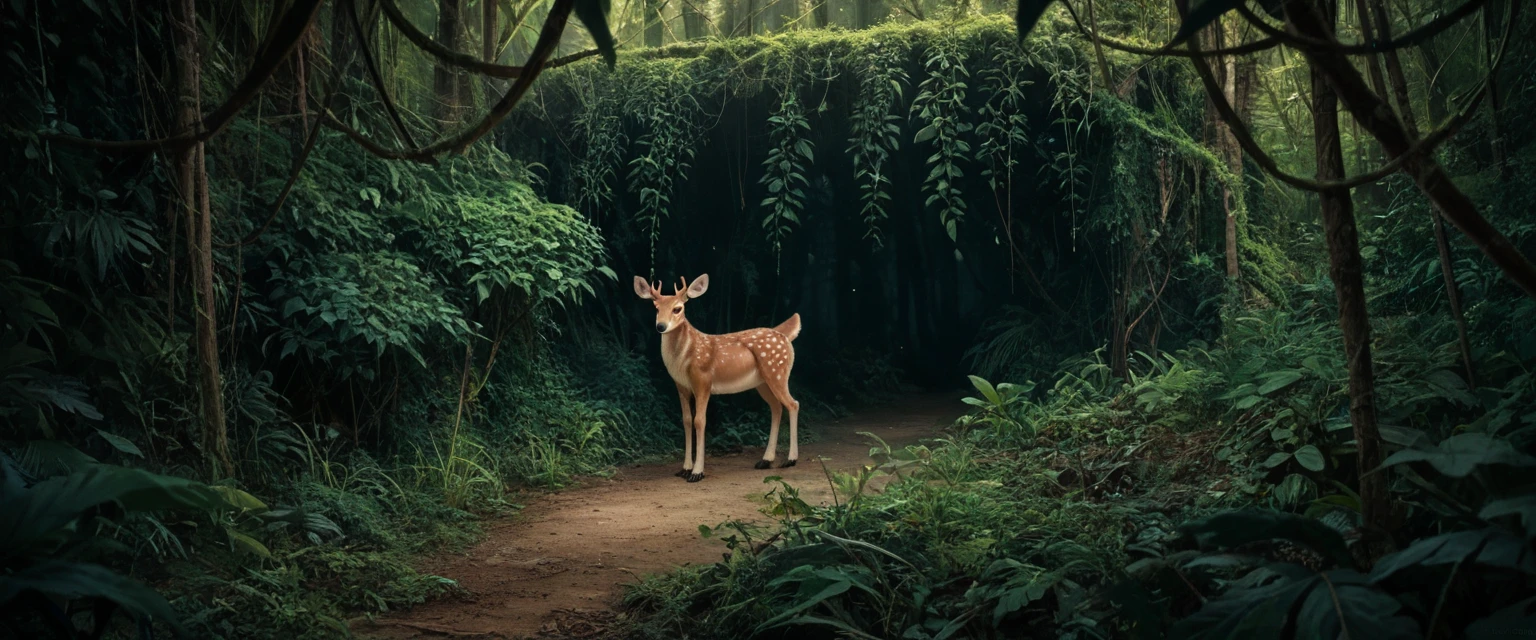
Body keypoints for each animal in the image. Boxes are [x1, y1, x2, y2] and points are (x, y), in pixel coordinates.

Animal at [635, 271, 804, 481]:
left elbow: (700, 421)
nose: (660, 326)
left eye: (677, 308)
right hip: (762, 382)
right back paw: (765, 460)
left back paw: (790, 459)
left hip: (777, 372)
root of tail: (784, 336)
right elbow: (686, 420)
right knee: (776, 407)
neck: (684, 359)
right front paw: (685, 469)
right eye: (656, 308)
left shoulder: (703, 381)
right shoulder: (680, 385)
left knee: (793, 404)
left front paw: (697, 472)